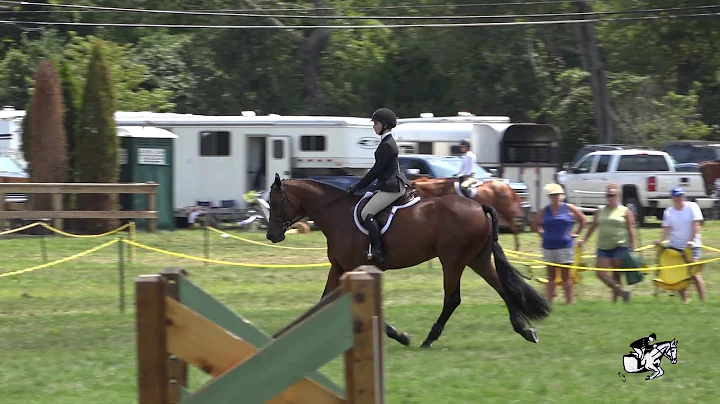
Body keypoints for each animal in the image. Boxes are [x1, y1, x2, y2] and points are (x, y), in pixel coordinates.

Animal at [266, 175, 552, 348]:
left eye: (275, 204)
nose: (272, 236)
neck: (337, 215)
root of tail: (479, 206)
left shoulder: (353, 268)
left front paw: (401, 336)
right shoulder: (339, 268)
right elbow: (323, 300)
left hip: (453, 260)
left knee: (453, 298)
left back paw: (429, 339)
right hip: (477, 259)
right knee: (501, 288)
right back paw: (525, 331)